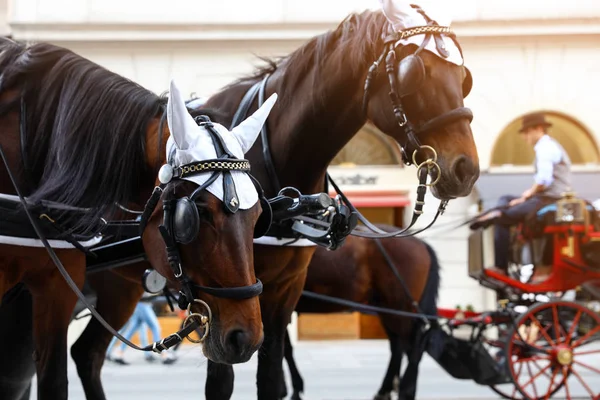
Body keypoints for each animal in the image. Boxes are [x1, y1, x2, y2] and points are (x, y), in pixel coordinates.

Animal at [278, 225, 440, 400]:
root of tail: (421, 243)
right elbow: (284, 347)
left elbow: (285, 348)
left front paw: (292, 388)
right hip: (388, 309)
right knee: (398, 346)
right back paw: (386, 390)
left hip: (399, 308)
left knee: (411, 344)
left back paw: (405, 390)